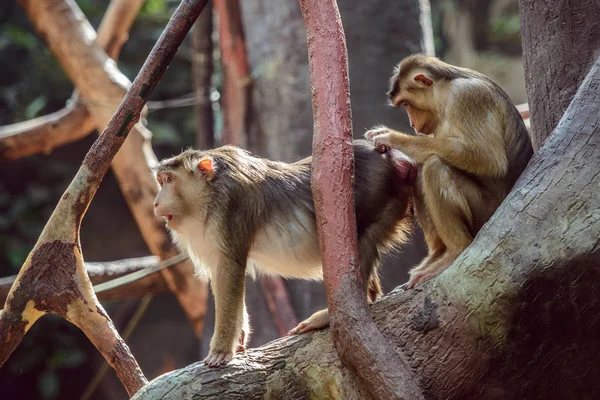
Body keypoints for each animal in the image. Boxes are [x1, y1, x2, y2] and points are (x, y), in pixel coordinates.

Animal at [154, 140, 418, 366]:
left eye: (169, 180)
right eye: (161, 181)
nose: (156, 202)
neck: (211, 189)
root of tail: (389, 155)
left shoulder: (230, 207)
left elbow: (230, 267)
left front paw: (221, 349)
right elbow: (222, 272)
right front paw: (239, 337)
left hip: (378, 195)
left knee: (363, 239)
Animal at [364, 54, 532, 290]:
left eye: (406, 103)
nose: (412, 123)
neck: (444, 91)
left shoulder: (467, 97)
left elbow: (489, 159)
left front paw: (393, 138)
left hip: (485, 212)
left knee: (435, 166)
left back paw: (455, 251)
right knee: (422, 168)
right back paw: (437, 254)